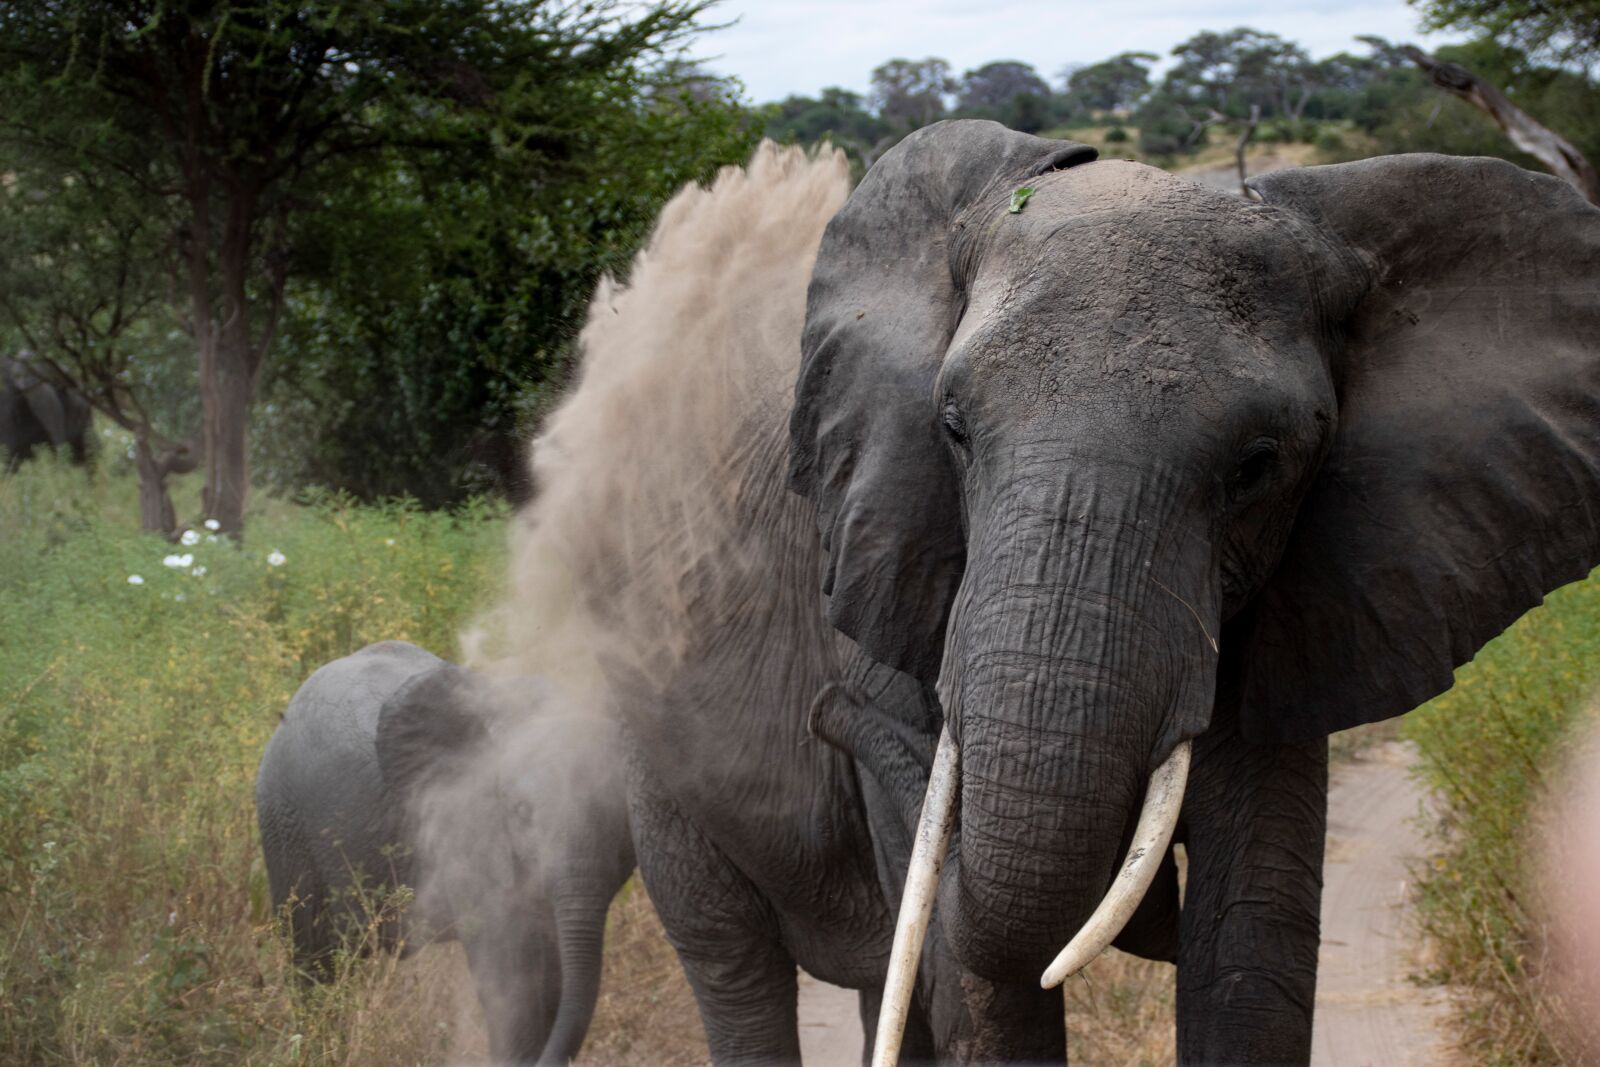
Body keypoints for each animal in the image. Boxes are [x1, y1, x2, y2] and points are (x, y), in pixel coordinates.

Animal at [254, 640, 634, 1065]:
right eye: (520, 812)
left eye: (622, 819)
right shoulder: (465, 826)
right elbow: (511, 978)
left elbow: (550, 976)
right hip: (285, 825)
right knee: (313, 963)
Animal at [515, 125, 1600, 1064]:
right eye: (952, 427)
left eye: (1259, 466)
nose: (828, 710)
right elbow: (982, 983)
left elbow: (1250, 941)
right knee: (735, 960)